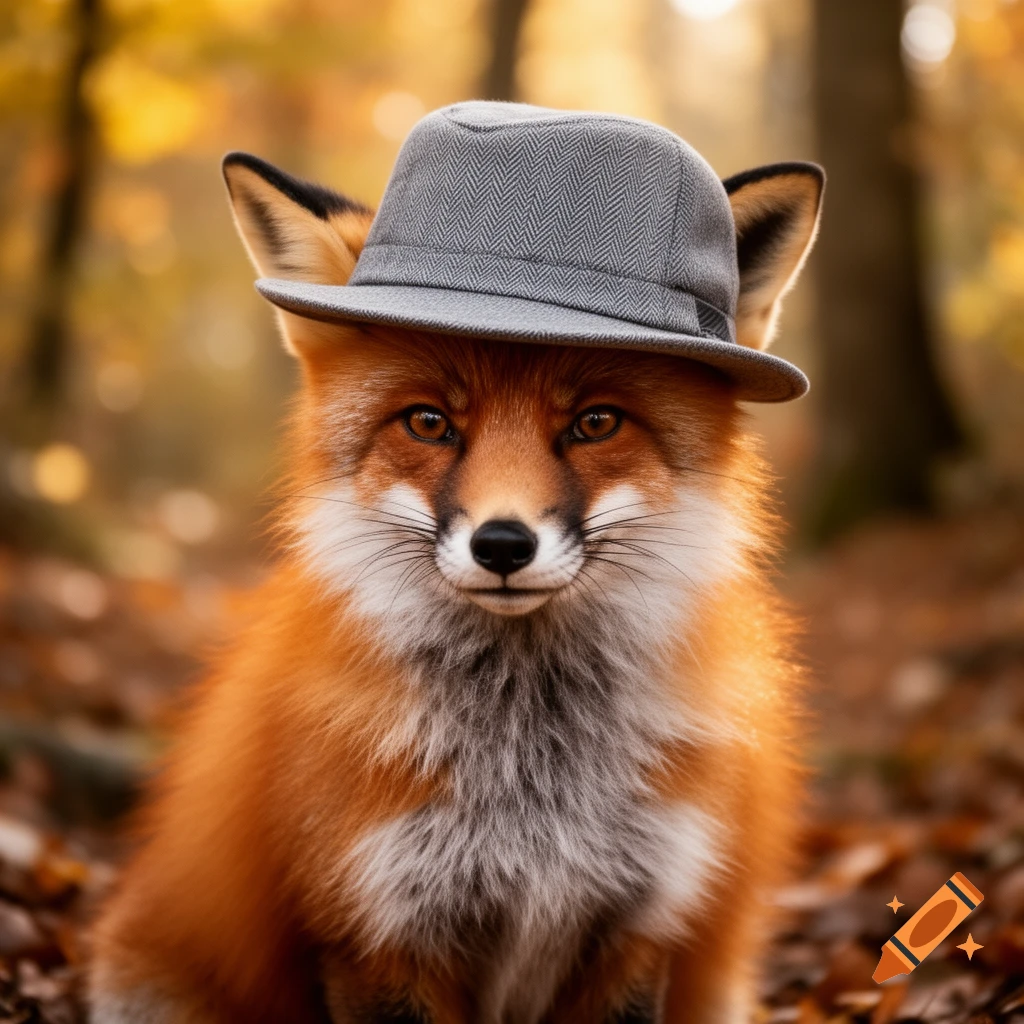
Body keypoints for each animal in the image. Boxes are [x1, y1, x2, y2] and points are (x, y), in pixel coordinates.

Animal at [88, 130, 823, 1022]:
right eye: (429, 423)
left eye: (595, 422)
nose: (502, 545)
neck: (532, 782)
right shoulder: (375, 930)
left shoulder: (639, 928)